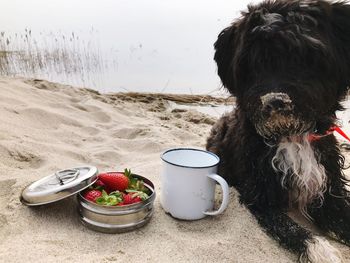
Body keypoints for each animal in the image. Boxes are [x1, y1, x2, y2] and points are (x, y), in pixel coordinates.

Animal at [206, 1, 348, 262]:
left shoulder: (329, 191)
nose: (275, 101)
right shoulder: (260, 197)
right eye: (252, 62)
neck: (292, 136)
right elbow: (293, 230)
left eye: (306, 55)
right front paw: (323, 252)